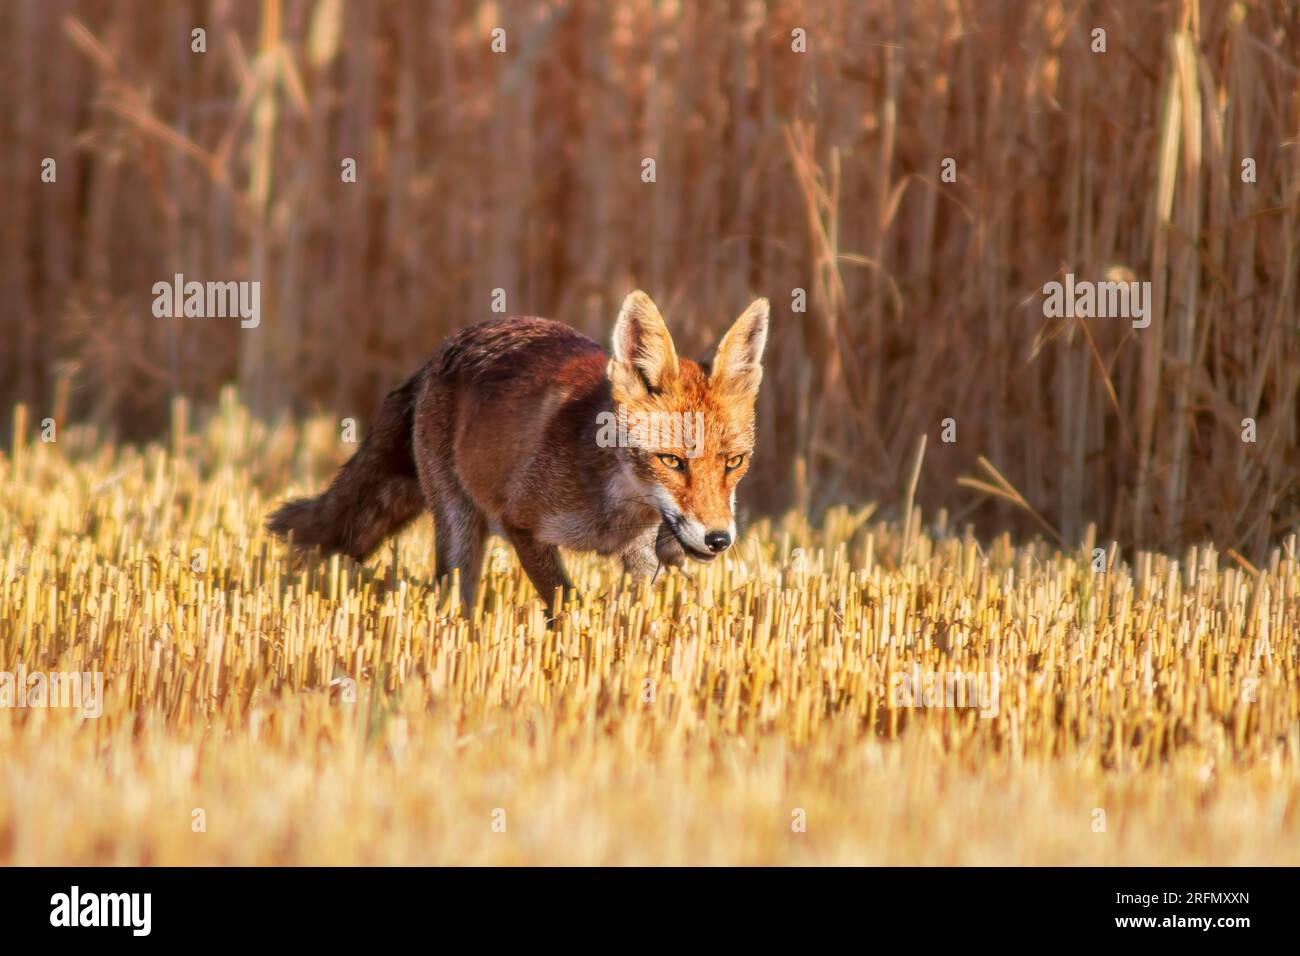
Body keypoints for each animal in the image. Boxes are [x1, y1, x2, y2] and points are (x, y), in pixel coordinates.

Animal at [267, 291, 764, 616]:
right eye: (672, 461)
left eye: (734, 463)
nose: (719, 539)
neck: (613, 510)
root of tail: (451, 342)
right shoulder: (521, 523)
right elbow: (565, 601)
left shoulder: (641, 557)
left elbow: (633, 610)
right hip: (458, 527)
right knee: (456, 595)